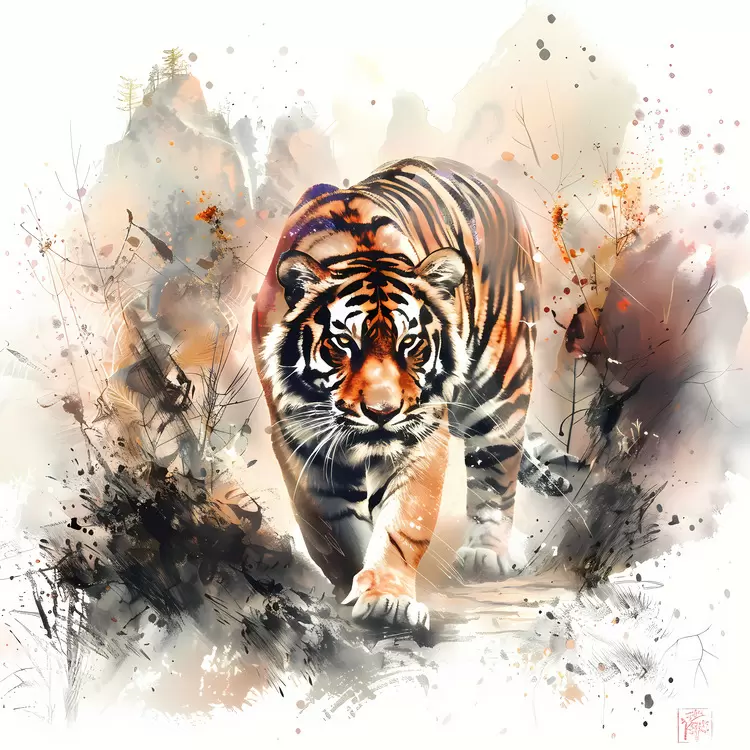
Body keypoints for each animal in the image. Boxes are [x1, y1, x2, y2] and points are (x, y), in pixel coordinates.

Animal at [251, 157, 573, 630]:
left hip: (501, 387)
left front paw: (387, 598)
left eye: (410, 344)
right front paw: (353, 584)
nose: (383, 412)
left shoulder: (422, 436)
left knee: (497, 471)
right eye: (343, 343)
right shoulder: (301, 441)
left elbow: (404, 522)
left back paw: (486, 554)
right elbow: (334, 528)